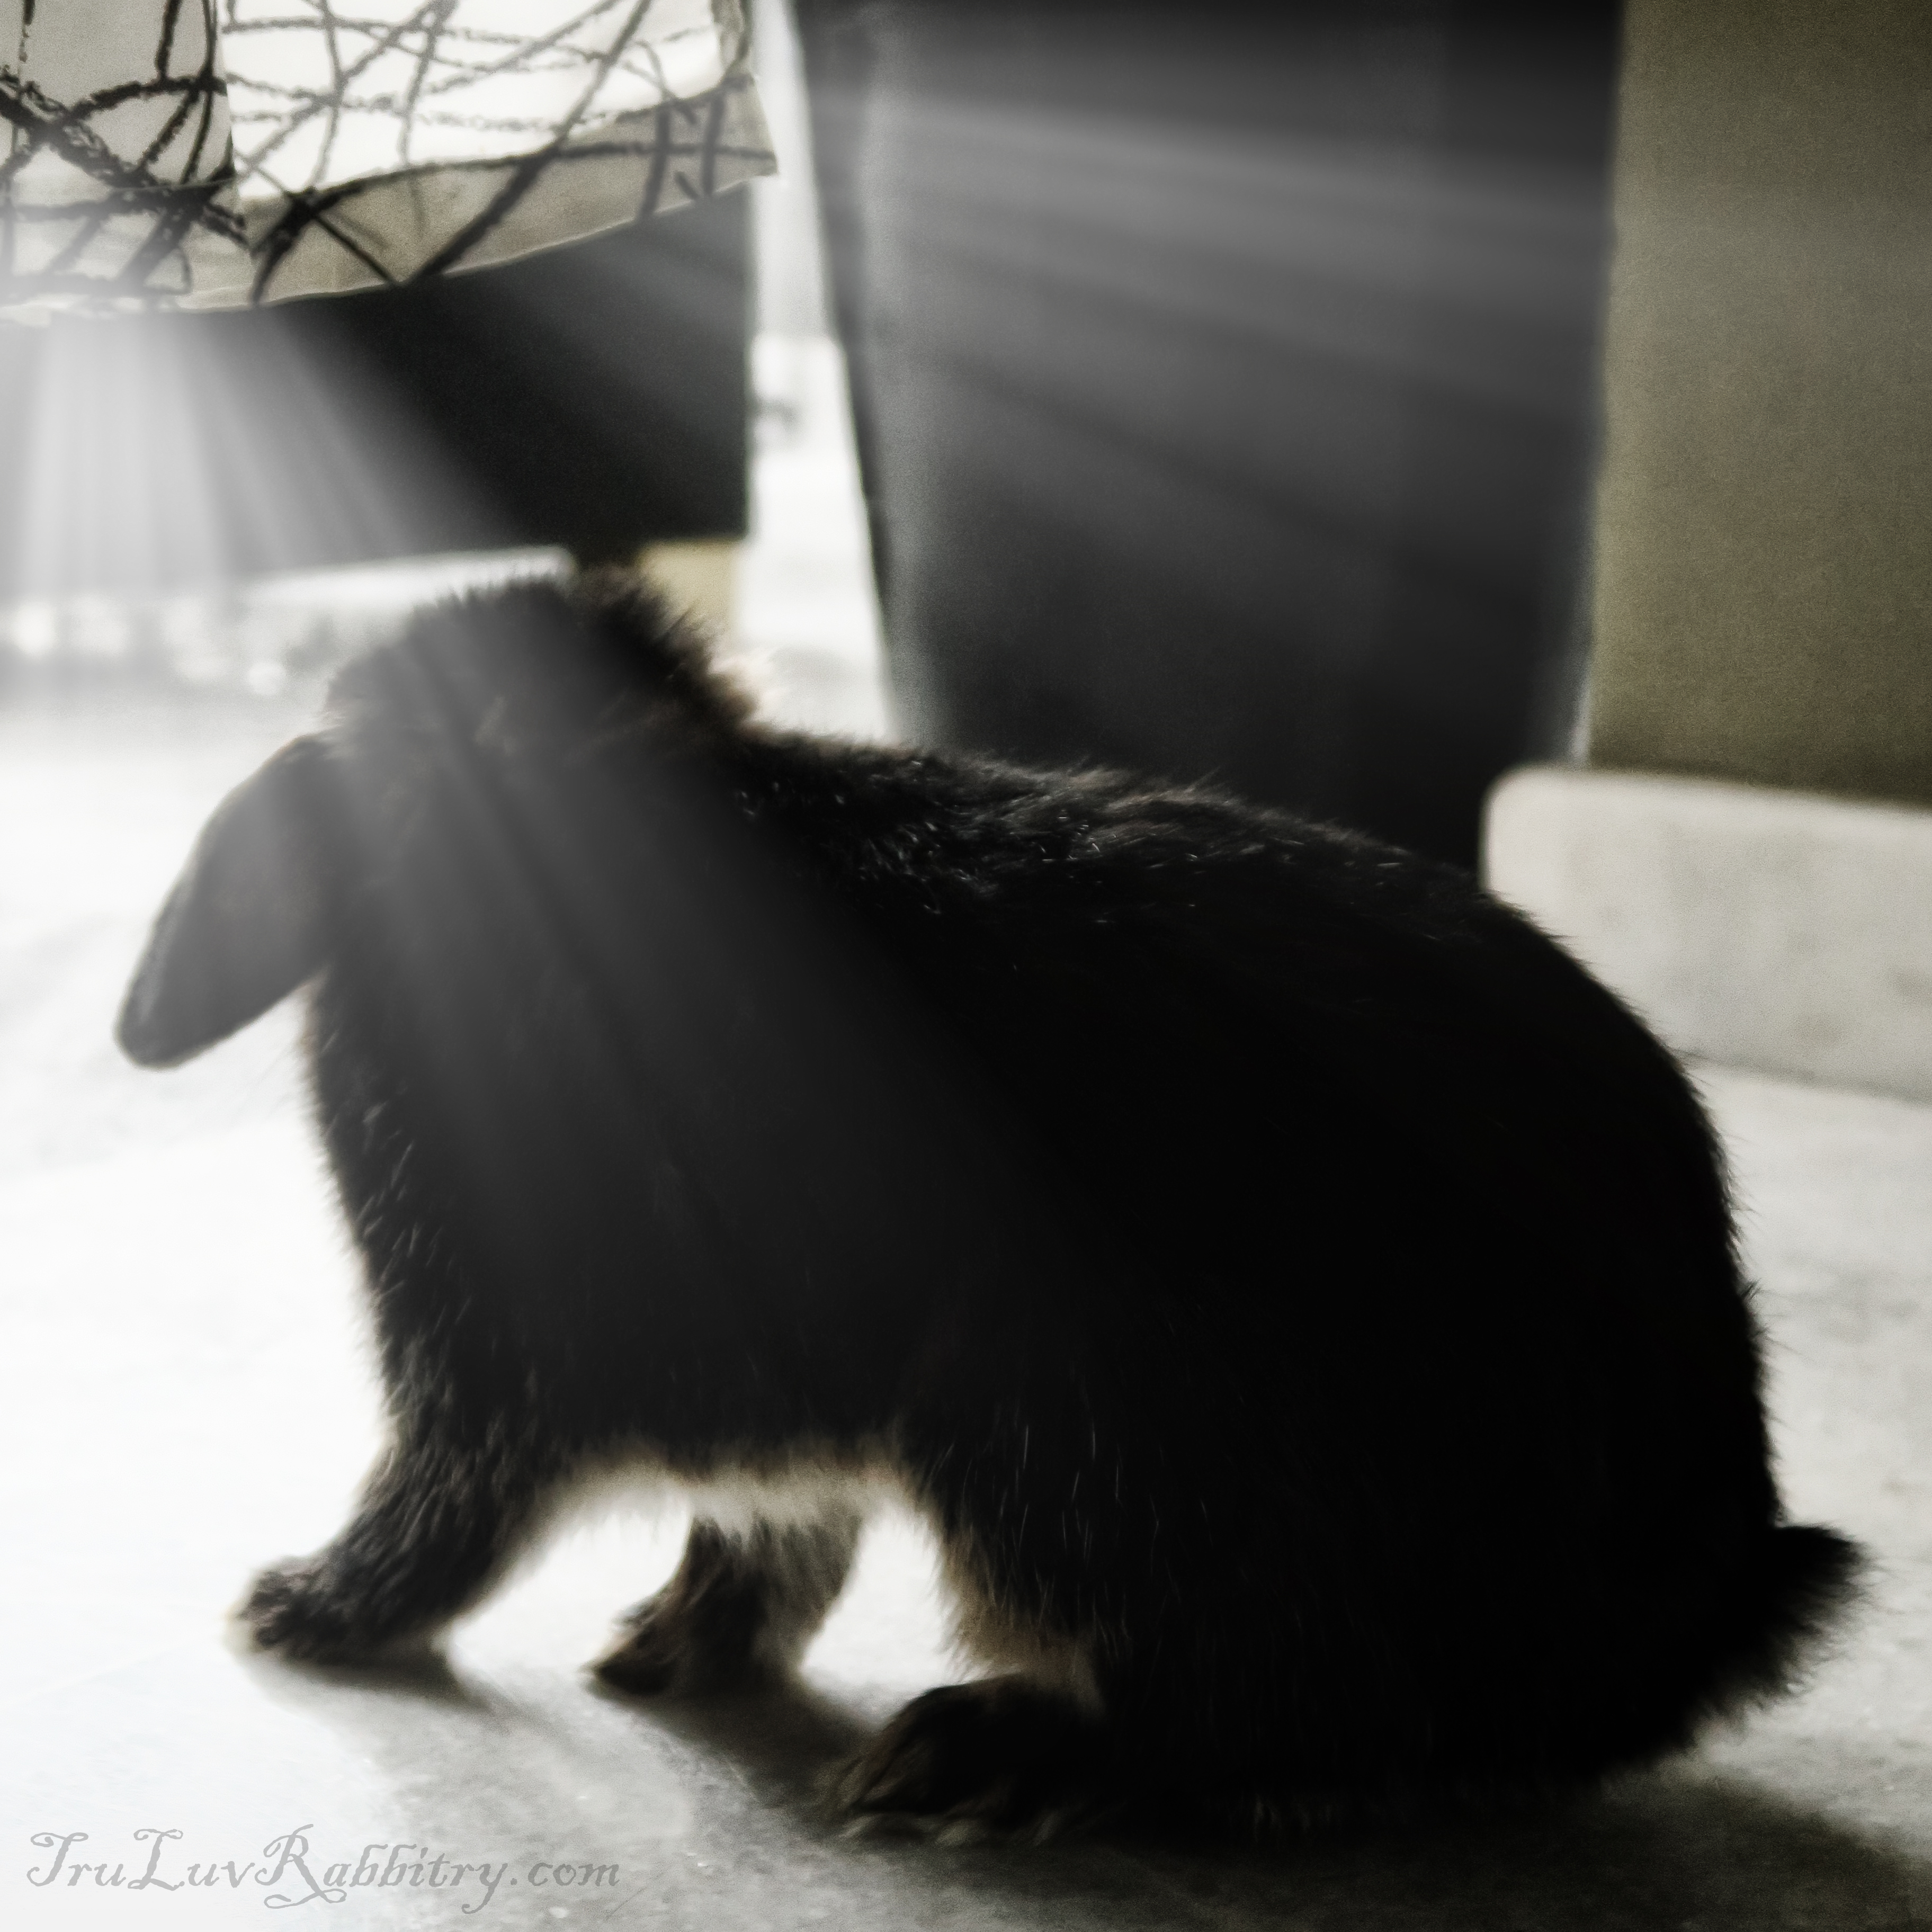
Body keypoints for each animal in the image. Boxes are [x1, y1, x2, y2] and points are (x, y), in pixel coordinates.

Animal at [117, 569, 1859, 1837]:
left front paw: (300, 1611)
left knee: (1245, 1708)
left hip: (1065, 1430)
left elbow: (441, 1514)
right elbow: (771, 1539)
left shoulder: (485, 1363)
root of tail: (1678, 1607)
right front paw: (666, 1651)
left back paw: (970, 1760)